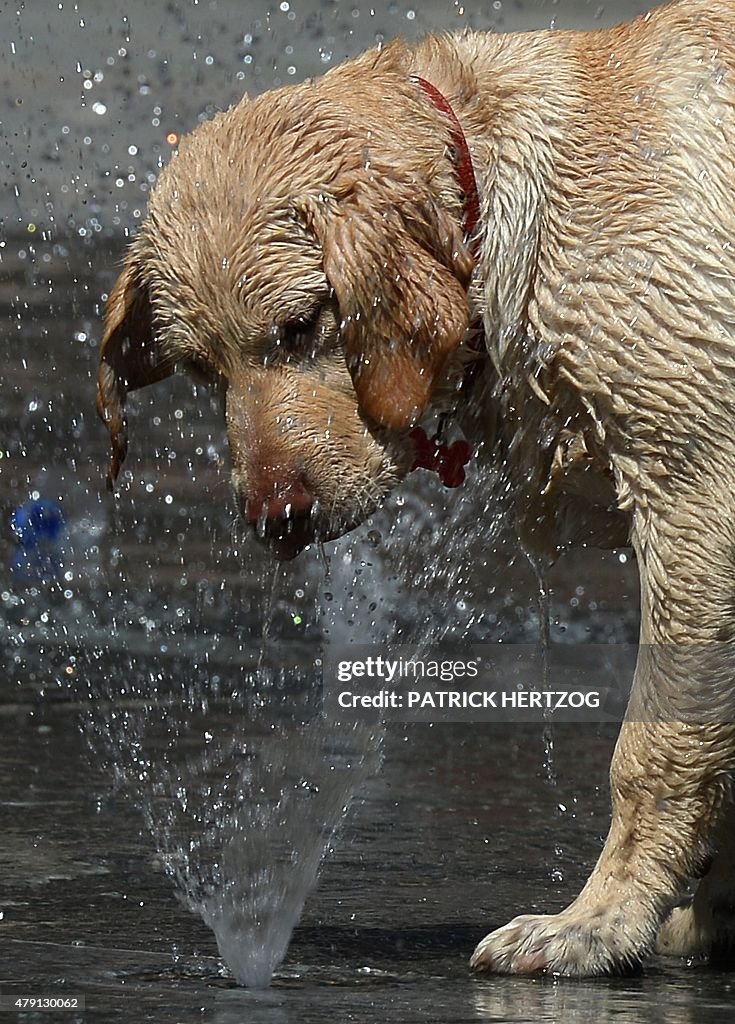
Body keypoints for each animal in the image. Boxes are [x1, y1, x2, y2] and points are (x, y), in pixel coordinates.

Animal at [97, 0, 735, 974]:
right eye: (202, 370)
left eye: (300, 328)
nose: (277, 519)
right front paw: (703, 914)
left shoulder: (693, 486)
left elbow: (657, 748)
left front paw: (598, 921)